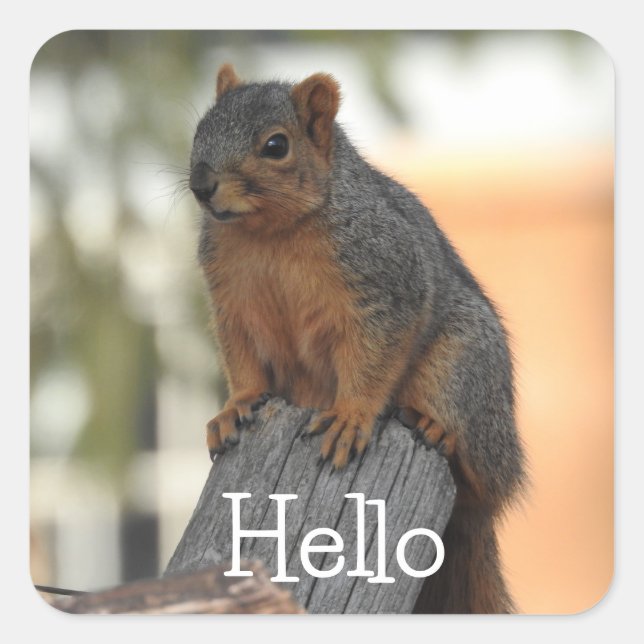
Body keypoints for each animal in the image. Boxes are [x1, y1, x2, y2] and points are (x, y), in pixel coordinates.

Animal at [189, 64, 526, 614]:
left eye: (276, 145)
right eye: (200, 129)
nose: (201, 184)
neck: (270, 234)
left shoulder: (384, 283)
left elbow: (374, 356)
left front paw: (350, 416)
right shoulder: (232, 304)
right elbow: (243, 361)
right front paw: (235, 407)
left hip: (462, 368)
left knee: (483, 475)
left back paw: (437, 431)